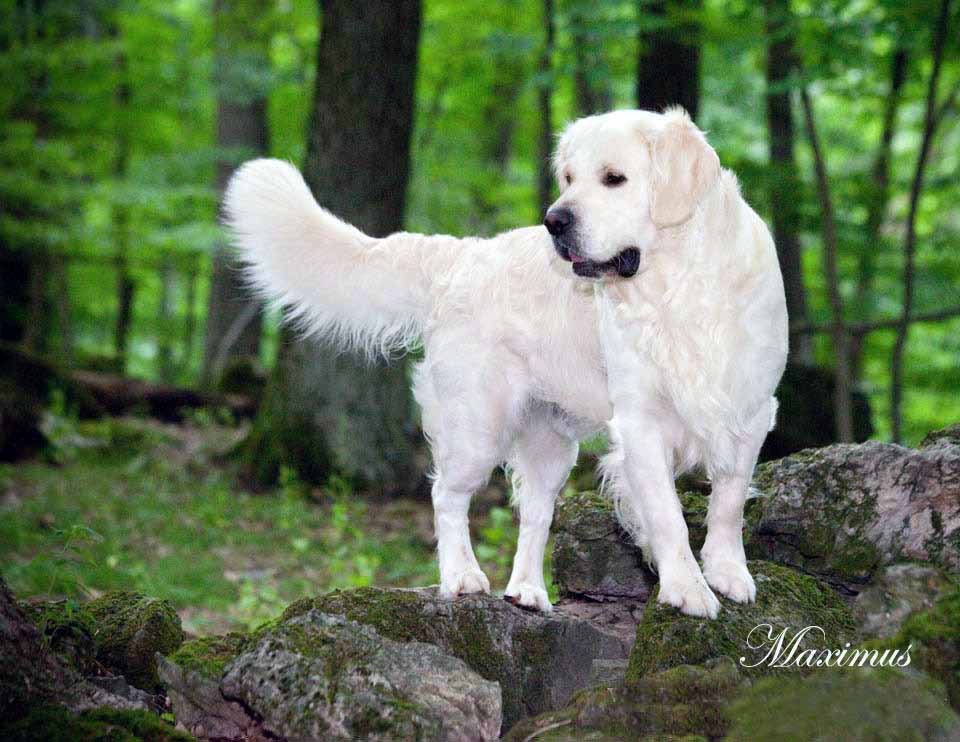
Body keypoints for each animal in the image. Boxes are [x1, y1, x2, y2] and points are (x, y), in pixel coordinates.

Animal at [225, 109, 788, 620]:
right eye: (568, 178)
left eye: (614, 178)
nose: (554, 220)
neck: (681, 288)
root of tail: (461, 255)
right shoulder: (641, 422)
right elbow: (669, 516)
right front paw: (687, 589)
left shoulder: (751, 410)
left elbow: (729, 502)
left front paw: (728, 573)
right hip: (477, 426)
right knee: (446, 496)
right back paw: (462, 576)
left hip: (550, 443)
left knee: (534, 516)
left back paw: (527, 591)